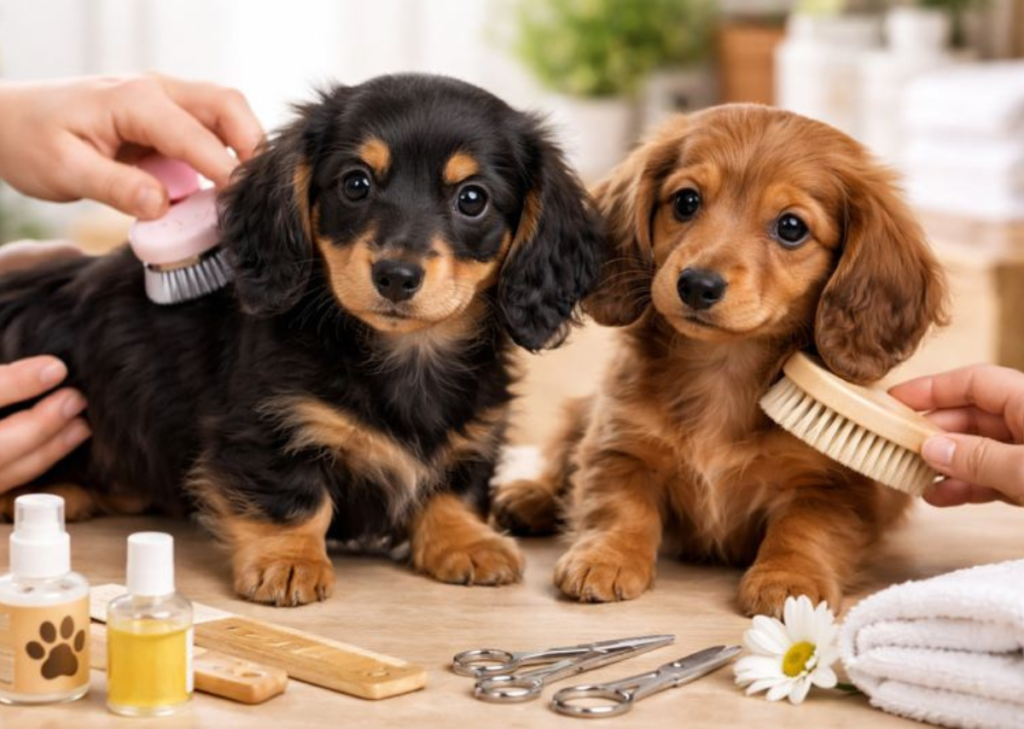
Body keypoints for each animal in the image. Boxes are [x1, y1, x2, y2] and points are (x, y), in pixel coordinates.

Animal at [0, 74, 605, 606]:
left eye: (473, 198)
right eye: (356, 183)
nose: (396, 276)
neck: (406, 355)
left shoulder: (475, 431)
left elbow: (453, 487)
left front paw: (467, 542)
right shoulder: (269, 425)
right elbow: (291, 499)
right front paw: (288, 561)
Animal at [492, 104, 948, 617]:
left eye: (791, 227)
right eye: (686, 202)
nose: (697, 284)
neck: (724, 369)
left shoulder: (830, 483)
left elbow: (805, 530)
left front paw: (789, 579)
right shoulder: (620, 443)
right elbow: (617, 505)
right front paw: (605, 557)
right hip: (582, 410)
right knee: (561, 462)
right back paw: (530, 498)